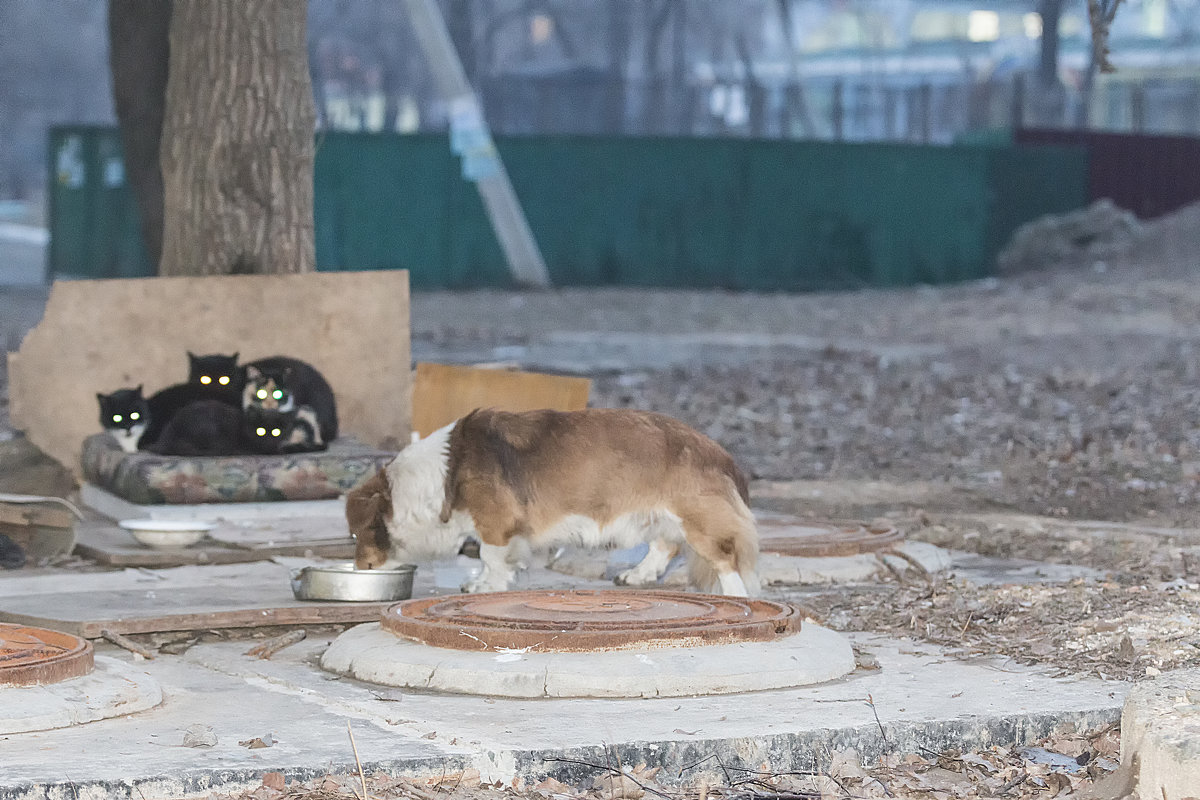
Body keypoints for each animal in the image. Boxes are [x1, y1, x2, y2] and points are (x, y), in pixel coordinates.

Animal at [348, 410, 758, 597]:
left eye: (355, 535)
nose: (361, 568)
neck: (441, 476)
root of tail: (720, 453)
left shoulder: (495, 525)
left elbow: (491, 557)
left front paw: (486, 585)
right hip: (659, 516)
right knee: (664, 545)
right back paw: (637, 575)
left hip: (697, 519)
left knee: (725, 558)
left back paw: (737, 598)